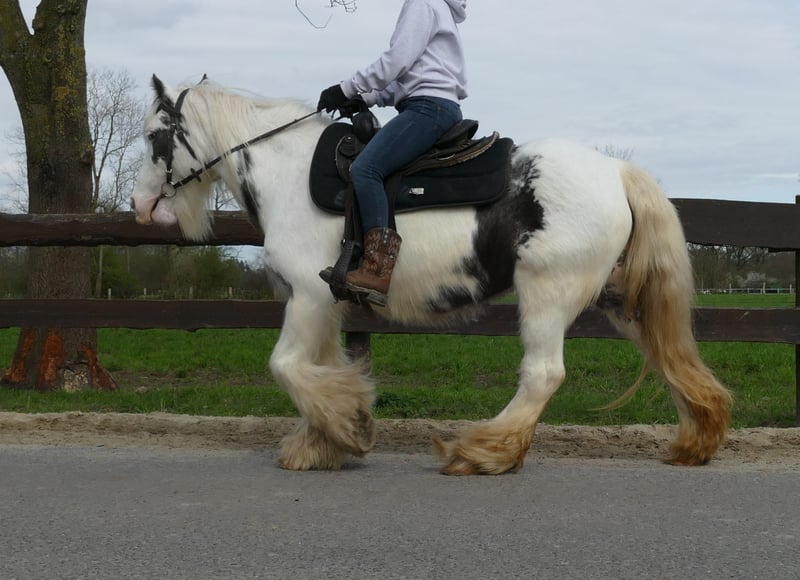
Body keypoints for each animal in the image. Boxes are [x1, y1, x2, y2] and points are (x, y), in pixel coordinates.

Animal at [131, 76, 732, 475]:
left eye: (157, 136)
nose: (139, 206)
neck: (290, 175)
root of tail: (616, 171)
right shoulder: (323, 304)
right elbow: (321, 366)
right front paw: (324, 440)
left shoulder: (306, 297)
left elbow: (288, 367)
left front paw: (347, 427)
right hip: (620, 301)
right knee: (671, 357)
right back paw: (695, 441)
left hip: (547, 292)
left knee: (543, 375)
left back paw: (482, 451)